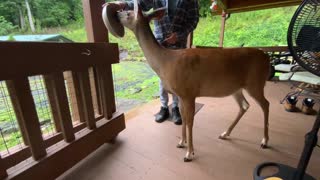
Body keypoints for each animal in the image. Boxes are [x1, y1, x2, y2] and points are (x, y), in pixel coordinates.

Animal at [104, 0, 270, 162]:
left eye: (128, 14)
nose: (116, 13)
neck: (165, 62)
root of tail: (266, 56)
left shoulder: (189, 93)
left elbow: (190, 121)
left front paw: (189, 153)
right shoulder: (181, 94)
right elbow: (183, 118)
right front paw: (181, 143)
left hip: (256, 82)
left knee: (266, 104)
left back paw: (264, 141)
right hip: (237, 88)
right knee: (245, 105)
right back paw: (225, 133)